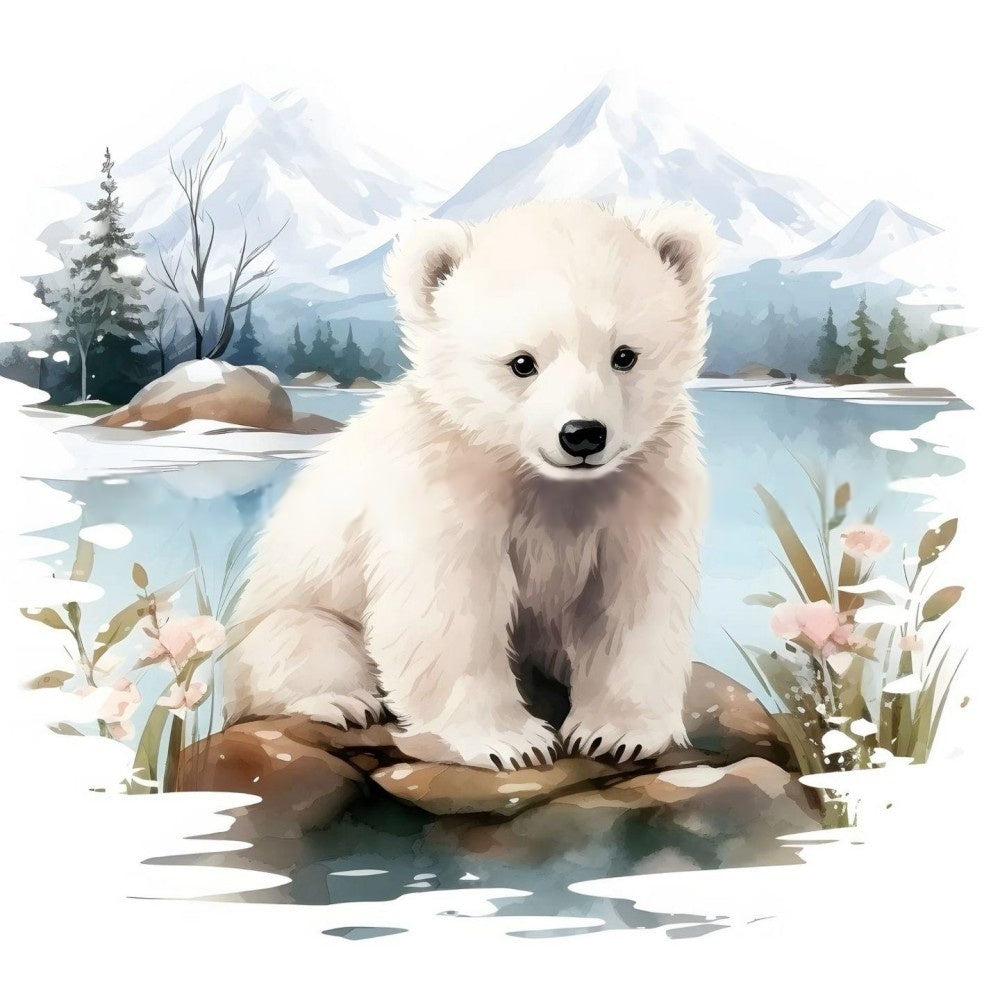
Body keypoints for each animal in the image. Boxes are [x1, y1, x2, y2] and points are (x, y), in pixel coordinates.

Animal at [224, 199, 716, 771]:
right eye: (522, 362)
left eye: (624, 355)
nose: (582, 434)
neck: (542, 480)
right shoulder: (447, 478)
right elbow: (451, 603)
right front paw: (511, 742)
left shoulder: (644, 482)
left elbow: (635, 595)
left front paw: (615, 732)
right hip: (288, 612)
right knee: (302, 644)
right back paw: (344, 701)